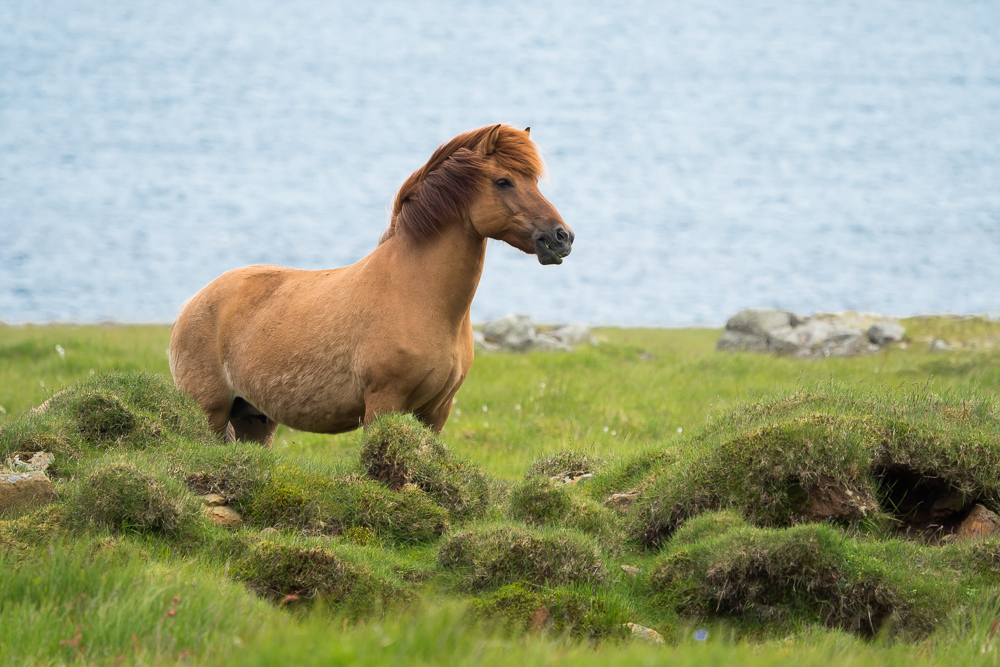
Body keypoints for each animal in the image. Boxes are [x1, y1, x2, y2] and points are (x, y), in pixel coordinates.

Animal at [169, 124, 576, 444]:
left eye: (534, 181)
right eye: (503, 182)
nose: (561, 237)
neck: (417, 294)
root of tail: (191, 304)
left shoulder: (435, 412)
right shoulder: (383, 405)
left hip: (255, 419)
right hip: (210, 413)